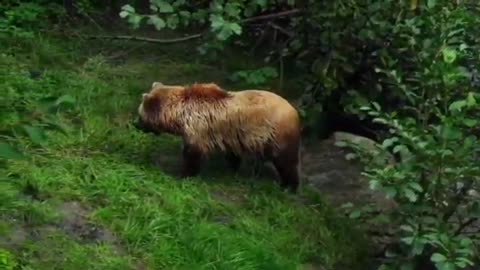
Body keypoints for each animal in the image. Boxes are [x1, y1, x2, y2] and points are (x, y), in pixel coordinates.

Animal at [133, 81, 302, 192]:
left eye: (140, 114)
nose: (135, 124)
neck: (180, 115)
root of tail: (294, 111)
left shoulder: (198, 130)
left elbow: (192, 155)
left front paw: (184, 174)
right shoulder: (231, 135)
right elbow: (232, 155)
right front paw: (231, 169)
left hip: (276, 134)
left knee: (286, 161)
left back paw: (289, 186)